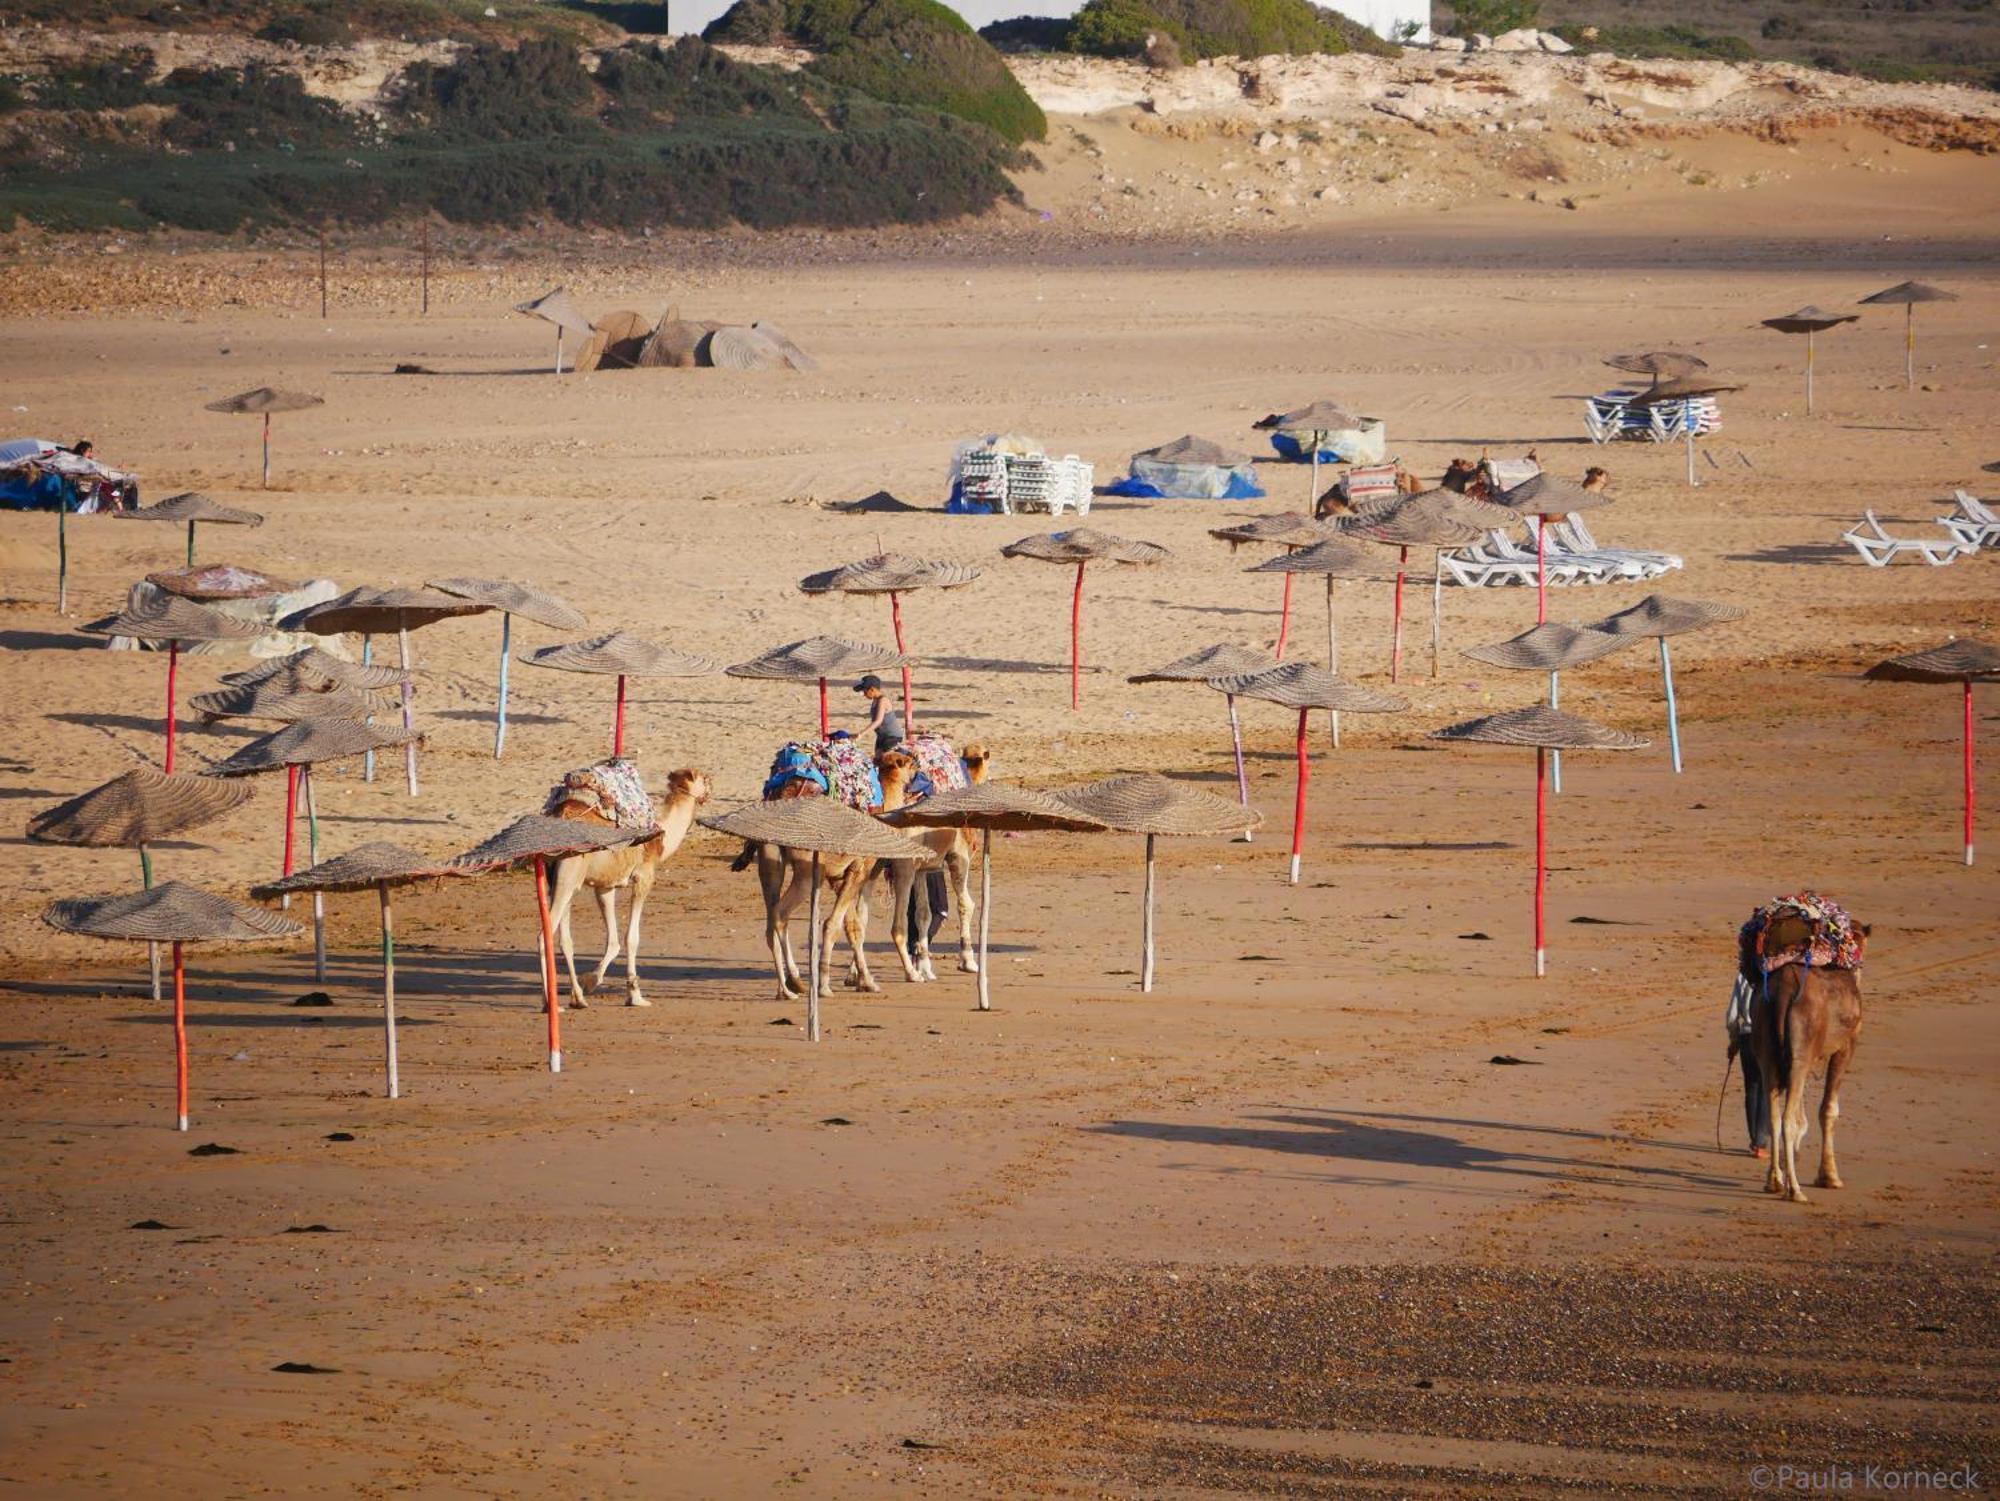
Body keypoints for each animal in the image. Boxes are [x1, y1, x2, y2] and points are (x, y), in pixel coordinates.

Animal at [548, 776, 712, 1012]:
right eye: (704, 779)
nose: (710, 788)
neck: (662, 837)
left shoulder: (605, 885)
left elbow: (613, 940)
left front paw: (589, 981)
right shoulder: (643, 877)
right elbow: (631, 937)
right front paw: (635, 995)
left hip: (560, 880)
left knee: (565, 940)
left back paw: (577, 998)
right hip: (567, 876)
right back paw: (551, 1005)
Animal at [1744, 904, 1864, 1208]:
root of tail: (1785, 989)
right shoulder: (1845, 1046)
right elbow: (1828, 1110)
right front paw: (1830, 1176)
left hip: (1768, 1050)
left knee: (1774, 1115)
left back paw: (1774, 1181)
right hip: (1801, 1049)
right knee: (1786, 1118)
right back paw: (1795, 1190)